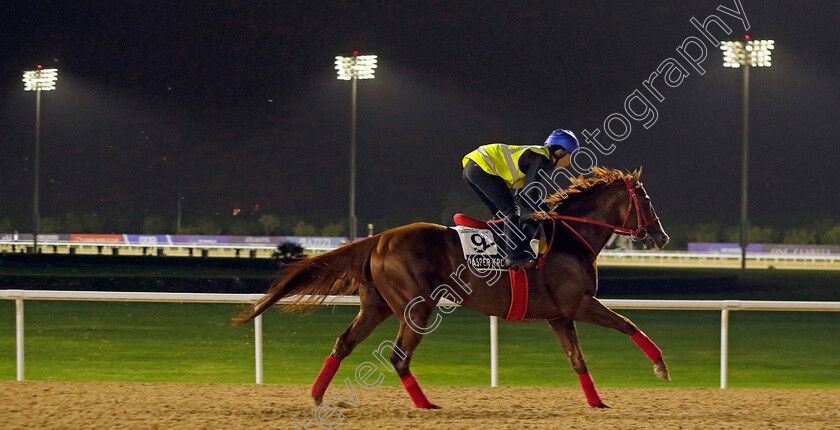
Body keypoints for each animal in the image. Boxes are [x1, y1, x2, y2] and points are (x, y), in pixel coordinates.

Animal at [235, 166, 668, 408]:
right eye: (646, 199)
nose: (661, 237)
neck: (568, 239)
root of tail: (378, 239)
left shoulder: (560, 316)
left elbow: (578, 360)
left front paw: (598, 403)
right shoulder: (579, 303)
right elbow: (629, 324)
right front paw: (661, 366)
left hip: (377, 305)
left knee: (344, 343)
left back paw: (317, 394)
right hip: (417, 306)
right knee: (398, 357)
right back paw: (426, 406)